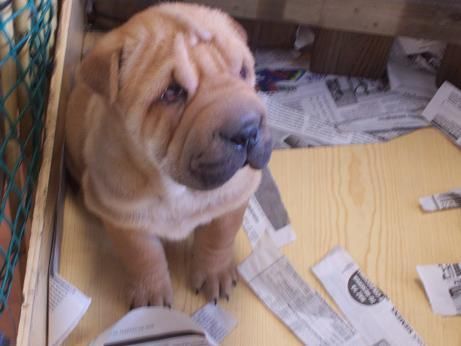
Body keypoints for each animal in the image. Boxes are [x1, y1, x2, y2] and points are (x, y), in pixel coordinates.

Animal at [66, 2, 272, 306]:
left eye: (243, 71)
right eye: (172, 93)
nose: (247, 131)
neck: (174, 185)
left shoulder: (234, 195)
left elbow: (219, 237)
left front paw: (215, 273)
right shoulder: (123, 216)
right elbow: (142, 256)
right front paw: (151, 294)